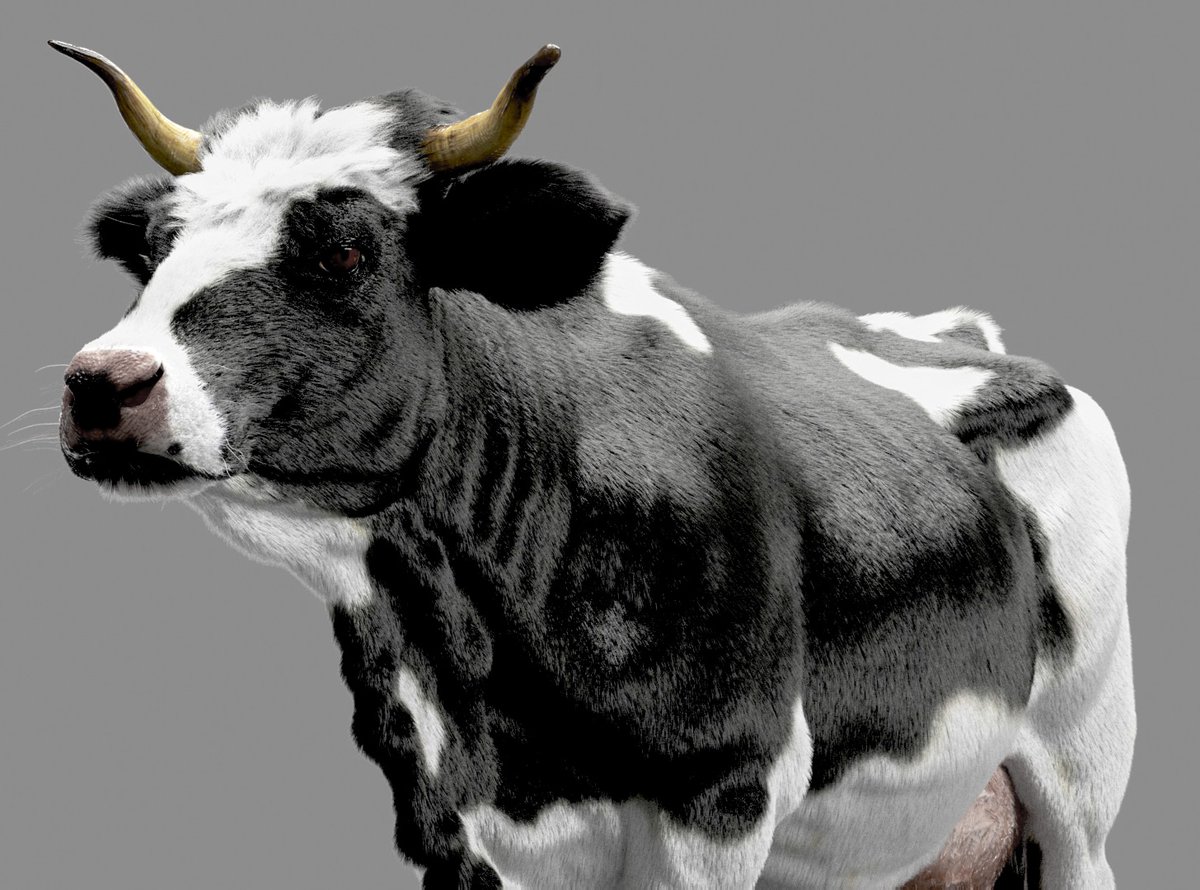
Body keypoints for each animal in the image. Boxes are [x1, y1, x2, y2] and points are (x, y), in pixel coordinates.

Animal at [50, 40, 1134, 889]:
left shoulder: (724, 794)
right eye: (155, 249)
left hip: (1082, 770)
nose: (105, 382)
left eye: (346, 254)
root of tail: (961, 328)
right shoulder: (452, 819)